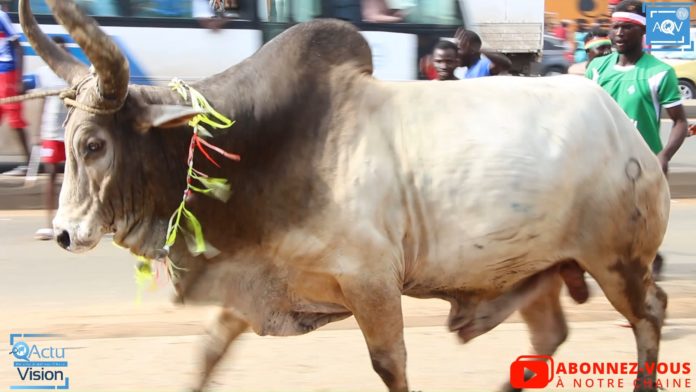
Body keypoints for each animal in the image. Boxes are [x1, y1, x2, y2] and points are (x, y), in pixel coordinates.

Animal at [21, 0, 672, 392]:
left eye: (95, 145)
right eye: (70, 140)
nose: (64, 233)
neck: (263, 147)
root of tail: (626, 129)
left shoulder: (372, 283)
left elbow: (390, 365)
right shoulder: (258, 280)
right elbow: (207, 352)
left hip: (616, 261)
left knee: (650, 313)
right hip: (533, 267)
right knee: (549, 337)